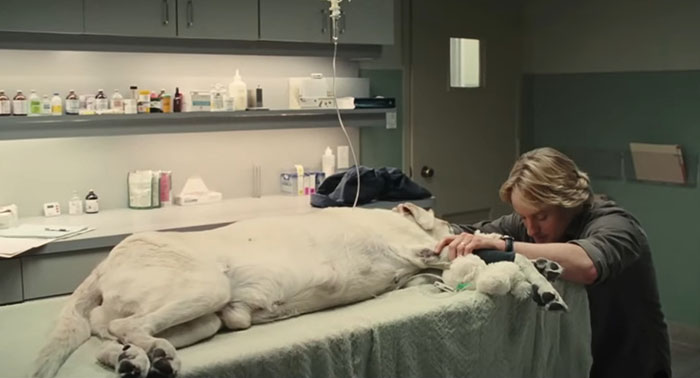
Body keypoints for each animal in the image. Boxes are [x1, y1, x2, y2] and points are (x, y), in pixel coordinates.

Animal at [32, 204, 568, 378]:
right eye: (445, 220)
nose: (466, 224)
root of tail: (103, 263)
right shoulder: (424, 251)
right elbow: (508, 257)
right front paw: (542, 286)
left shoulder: (420, 270)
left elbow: (501, 258)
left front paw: (544, 268)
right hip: (206, 286)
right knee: (125, 325)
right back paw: (151, 356)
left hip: (207, 318)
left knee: (108, 338)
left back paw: (140, 360)